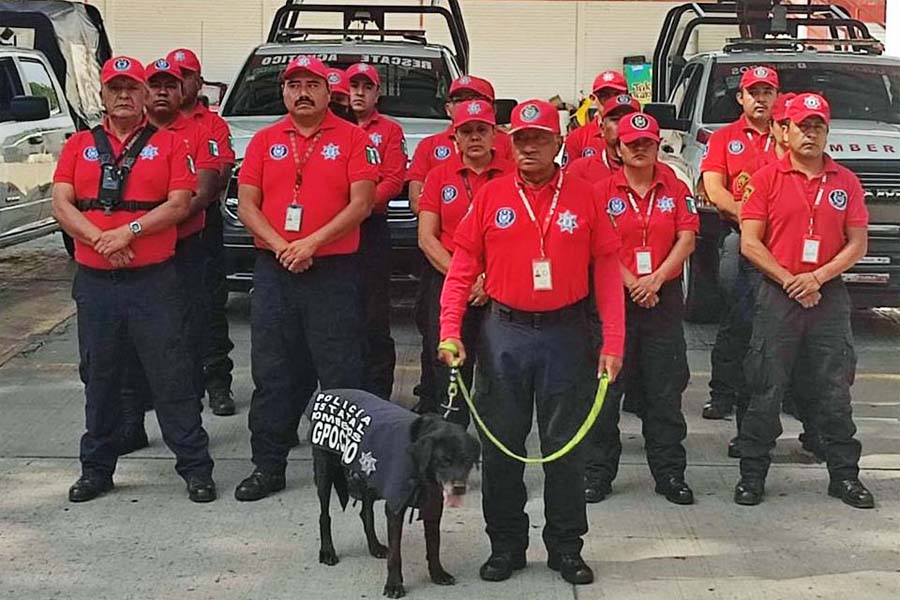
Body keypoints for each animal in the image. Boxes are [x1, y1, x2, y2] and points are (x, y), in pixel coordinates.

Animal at [308, 392, 478, 596]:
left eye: (467, 460)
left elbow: (434, 544)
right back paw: (327, 551)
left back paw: (374, 547)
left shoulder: (433, 507)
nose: (459, 488)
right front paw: (394, 584)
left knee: (365, 514)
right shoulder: (395, 508)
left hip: (369, 477)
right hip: (325, 471)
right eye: (444, 460)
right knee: (324, 516)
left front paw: (438, 574)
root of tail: (329, 392)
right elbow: (396, 554)